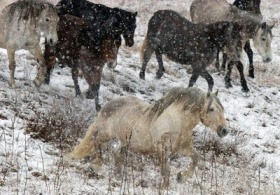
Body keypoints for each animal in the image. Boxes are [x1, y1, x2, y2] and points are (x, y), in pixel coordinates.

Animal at [66, 87, 229, 187]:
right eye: (212, 109)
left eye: (222, 109)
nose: (224, 130)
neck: (178, 122)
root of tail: (107, 104)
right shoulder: (162, 148)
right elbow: (165, 170)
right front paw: (165, 187)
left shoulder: (182, 148)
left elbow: (196, 158)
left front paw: (181, 177)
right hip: (105, 135)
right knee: (97, 142)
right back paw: (95, 165)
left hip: (125, 143)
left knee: (117, 155)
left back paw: (118, 176)